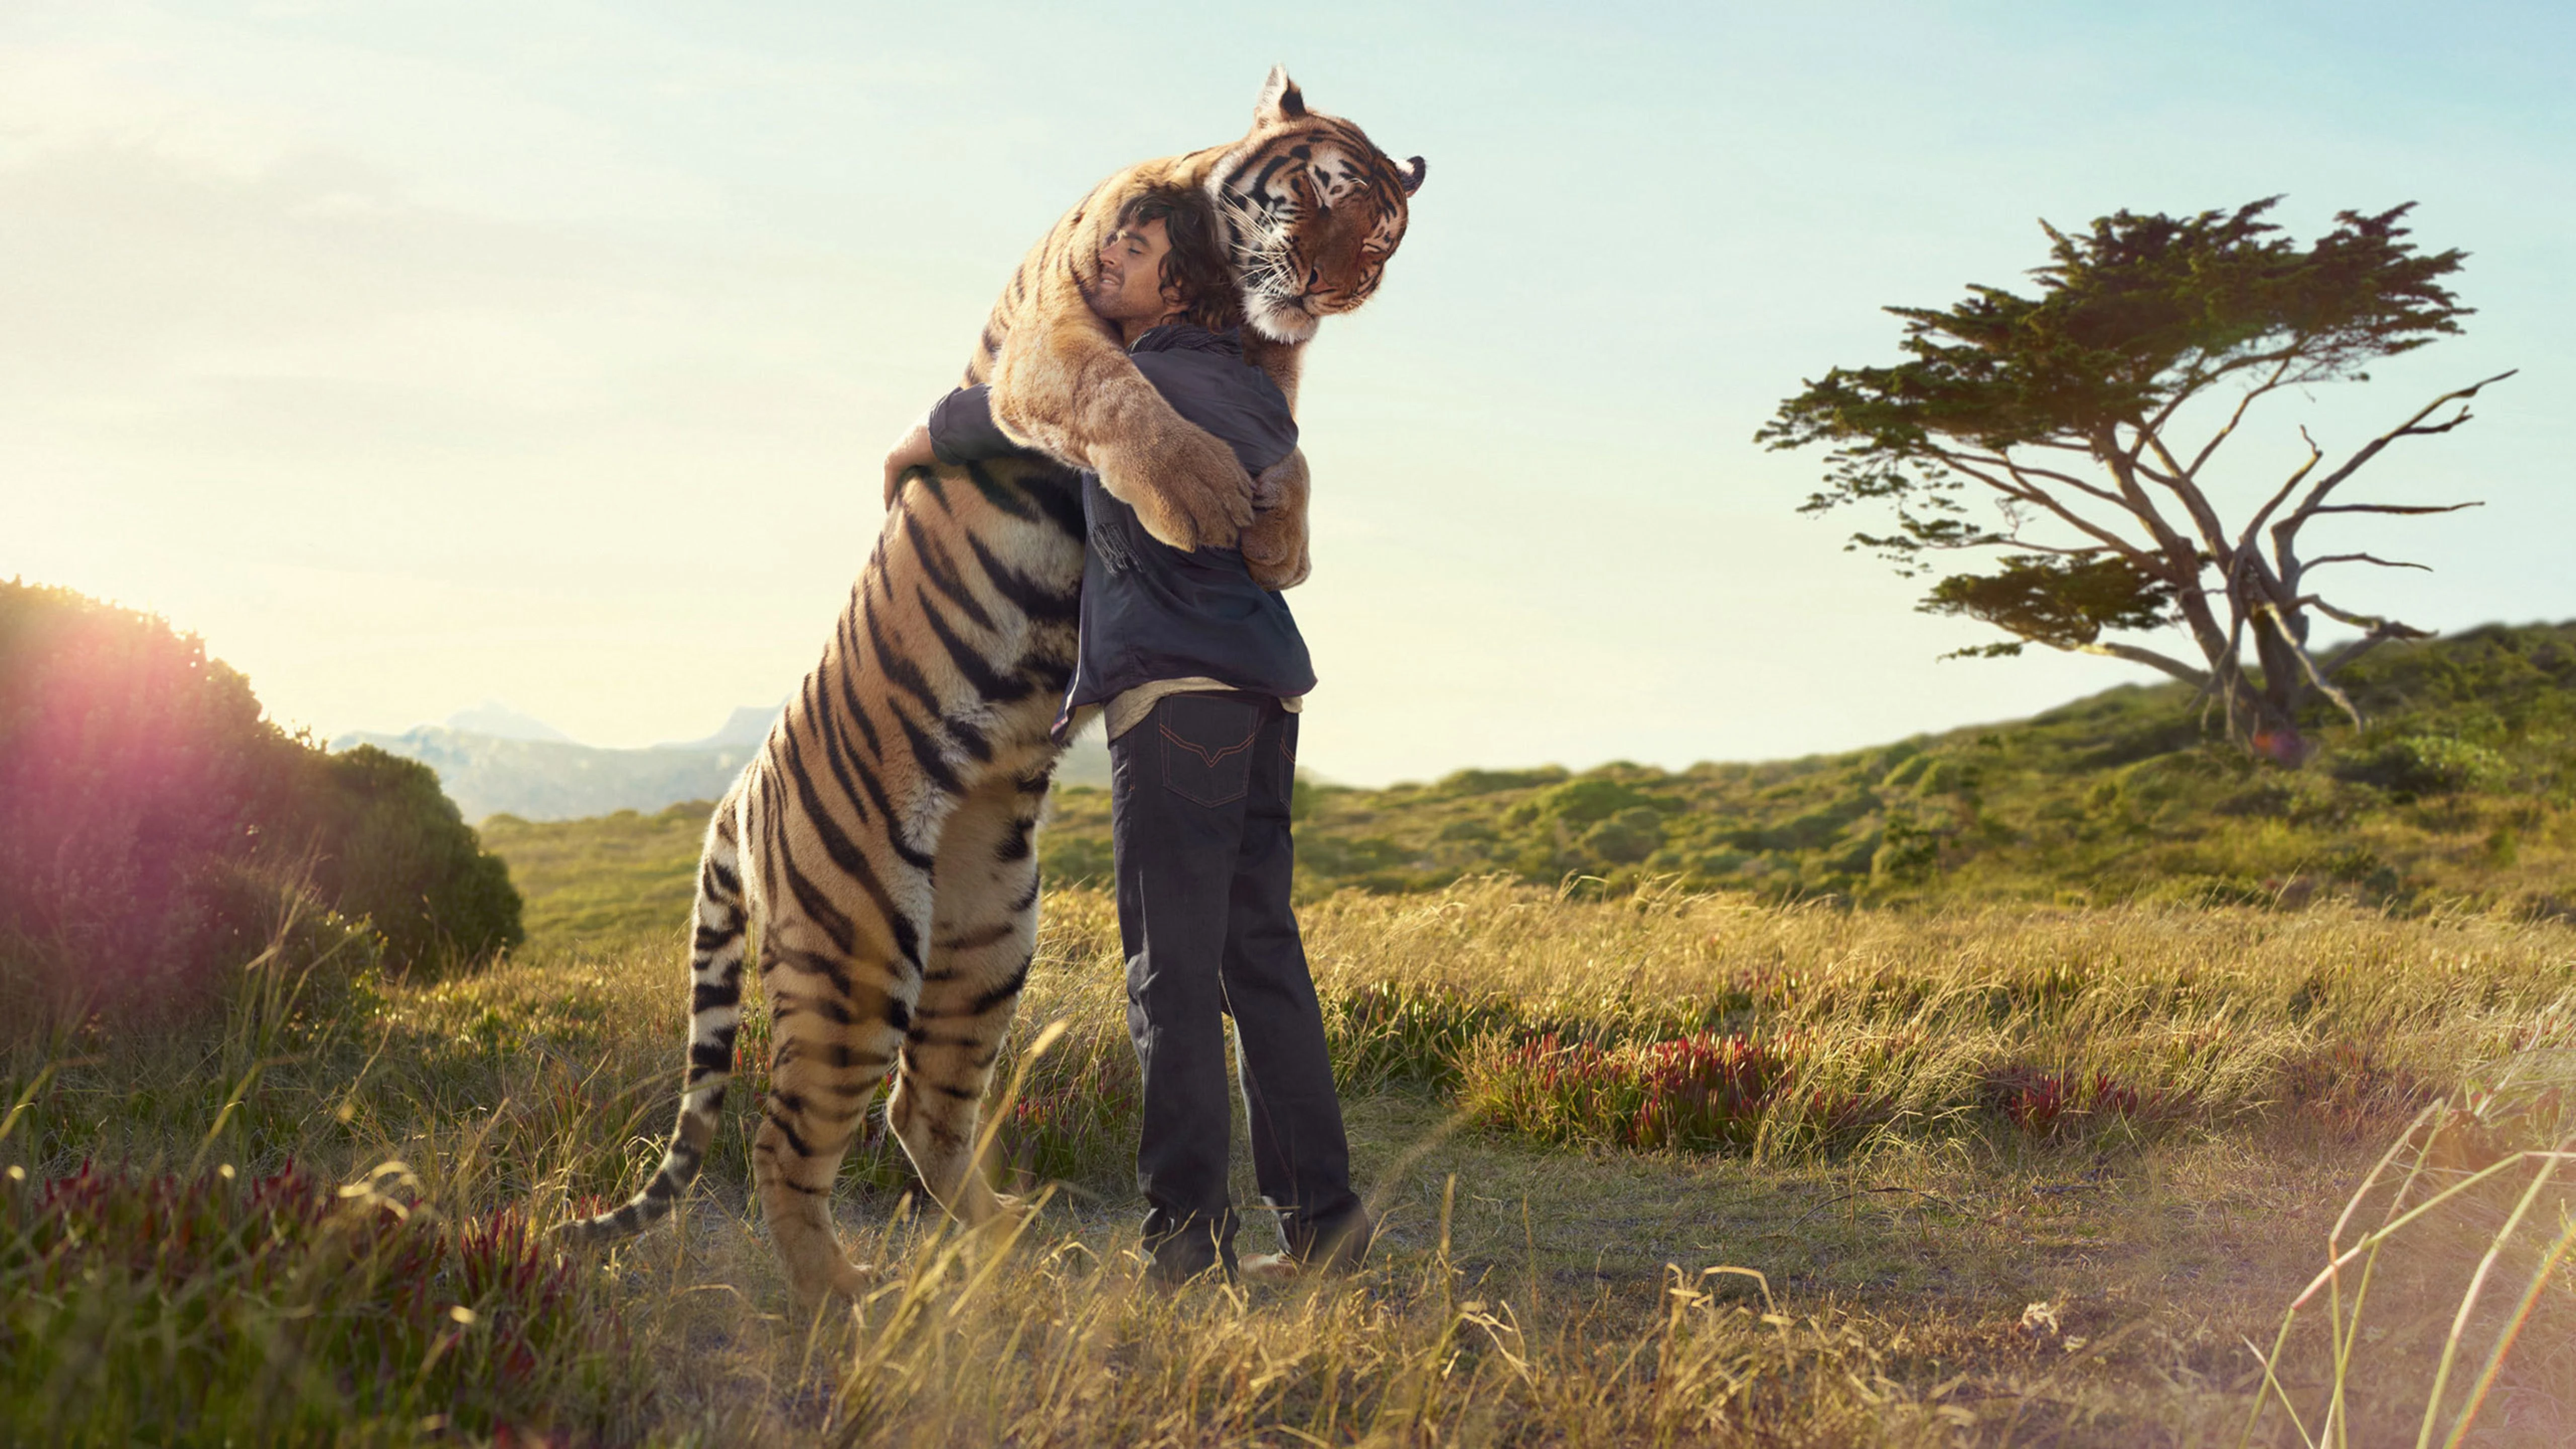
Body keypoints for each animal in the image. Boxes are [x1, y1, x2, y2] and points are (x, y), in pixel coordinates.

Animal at [555, 67, 1424, 1309]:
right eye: (1319, 194)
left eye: (1385, 239)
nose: (1332, 287)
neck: (1222, 301)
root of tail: (738, 791)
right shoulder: (1055, 337)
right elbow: (1120, 393)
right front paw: (1206, 499)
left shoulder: (1273, 377)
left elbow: (1292, 449)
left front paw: (1277, 539)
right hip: (859, 953)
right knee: (785, 1139)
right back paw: (846, 1299)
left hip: (985, 942)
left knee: (920, 1109)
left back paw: (1013, 1245)